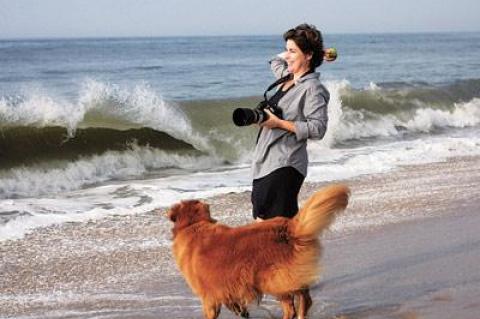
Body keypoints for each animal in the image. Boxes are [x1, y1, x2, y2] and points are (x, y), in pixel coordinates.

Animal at [166, 184, 348, 318]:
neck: (193, 224)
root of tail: (290, 228)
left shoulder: (208, 297)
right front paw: (241, 311)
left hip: (273, 279)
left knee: (294, 305)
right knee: (304, 299)